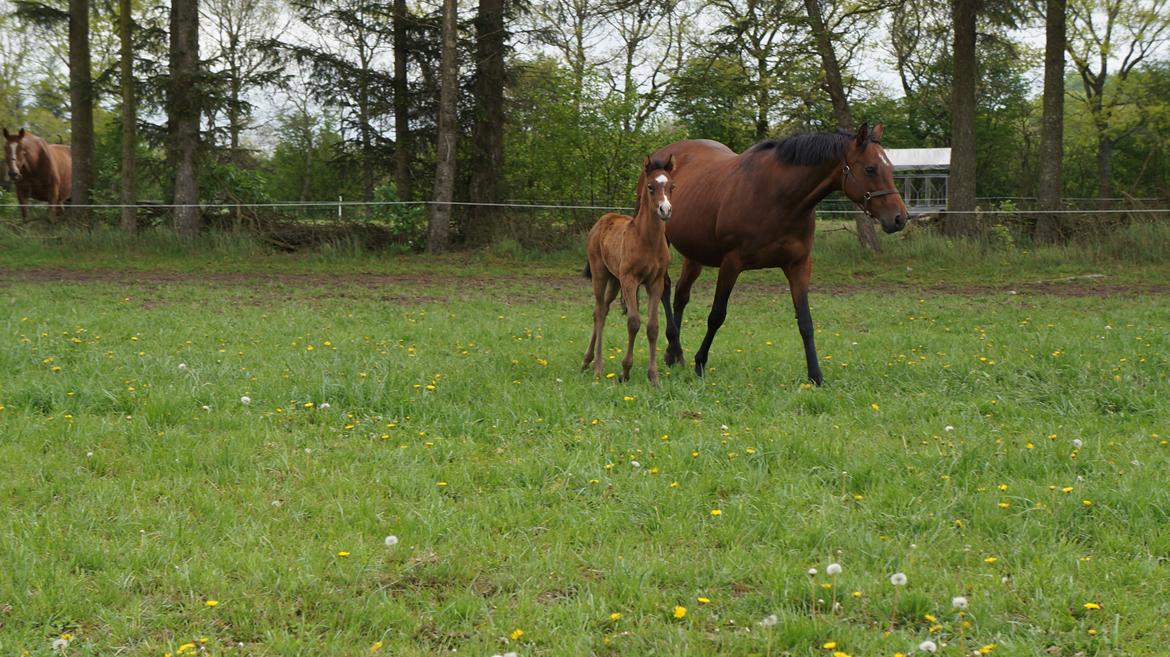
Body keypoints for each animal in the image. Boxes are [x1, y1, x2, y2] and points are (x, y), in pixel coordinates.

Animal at [582, 154, 678, 383]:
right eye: (651, 186)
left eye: (672, 186)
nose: (665, 210)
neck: (647, 240)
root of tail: (603, 219)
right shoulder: (630, 280)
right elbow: (634, 322)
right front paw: (625, 371)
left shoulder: (655, 283)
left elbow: (653, 327)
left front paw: (653, 376)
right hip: (600, 275)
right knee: (598, 312)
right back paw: (597, 367)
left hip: (614, 280)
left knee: (604, 309)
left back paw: (588, 361)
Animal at [641, 122, 903, 383]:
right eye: (870, 169)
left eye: (890, 167)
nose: (899, 218)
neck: (777, 197)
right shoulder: (731, 263)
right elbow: (716, 315)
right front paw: (700, 363)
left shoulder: (798, 264)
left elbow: (805, 321)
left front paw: (816, 375)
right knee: (665, 289)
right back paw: (675, 347)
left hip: (695, 254)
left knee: (681, 295)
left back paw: (674, 354)